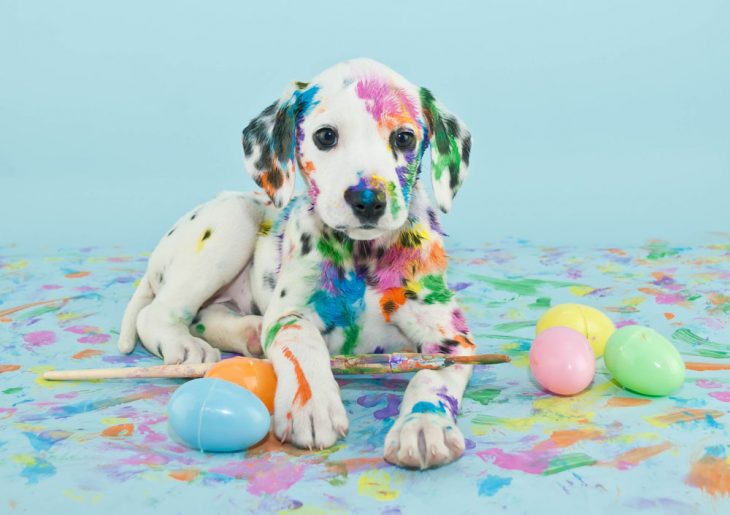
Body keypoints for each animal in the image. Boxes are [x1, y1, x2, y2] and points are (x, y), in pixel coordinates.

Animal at [116, 58, 472, 470]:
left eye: (403, 139)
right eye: (326, 136)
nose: (368, 199)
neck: (363, 255)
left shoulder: (452, 338)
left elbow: (431, 377)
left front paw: (423, 424)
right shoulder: (292, 313)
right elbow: (302, 344)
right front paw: (312, 403)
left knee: (209, 314)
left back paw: (250, 332)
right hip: (233, 219)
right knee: (158, 313)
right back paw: (188, 346)